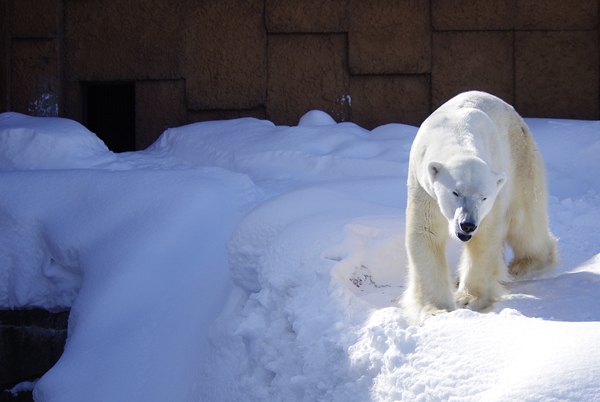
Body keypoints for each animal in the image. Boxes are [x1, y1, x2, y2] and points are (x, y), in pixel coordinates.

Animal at [404, 90, 556, 324]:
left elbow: (485, 235)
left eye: (483, 197)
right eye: (455, 192)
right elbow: (426, 233)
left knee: (524, 220)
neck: (455, 134)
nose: (467, 225)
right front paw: (437, 309)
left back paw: (524, 264)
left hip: (520, 159)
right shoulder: (423, 187)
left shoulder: (494, 185)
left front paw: (468, 299)